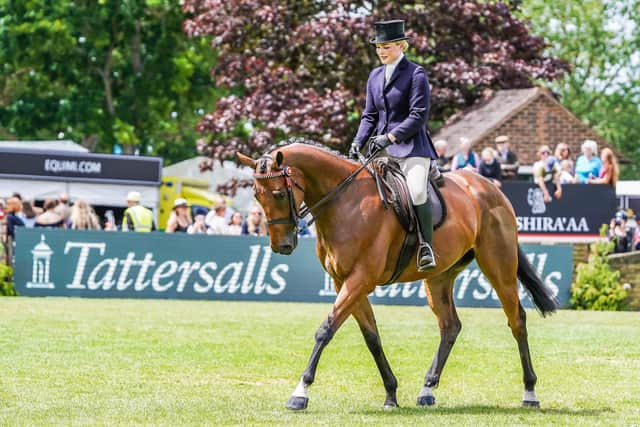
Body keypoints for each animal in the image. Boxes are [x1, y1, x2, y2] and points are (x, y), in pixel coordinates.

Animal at [238, 140, 556, 412]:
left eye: (279, 193)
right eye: (256, 195)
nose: (282, 246)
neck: (346, 203)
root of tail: (490, 188)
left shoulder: (360, 280)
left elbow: (325, 330)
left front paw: (300, 393)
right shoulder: (345, 282)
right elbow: (371, 337)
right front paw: (391, 393)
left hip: (499, 267)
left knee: (517, 320)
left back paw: (530, 393)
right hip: (439, 277)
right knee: (450, 326)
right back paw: (427, 390)